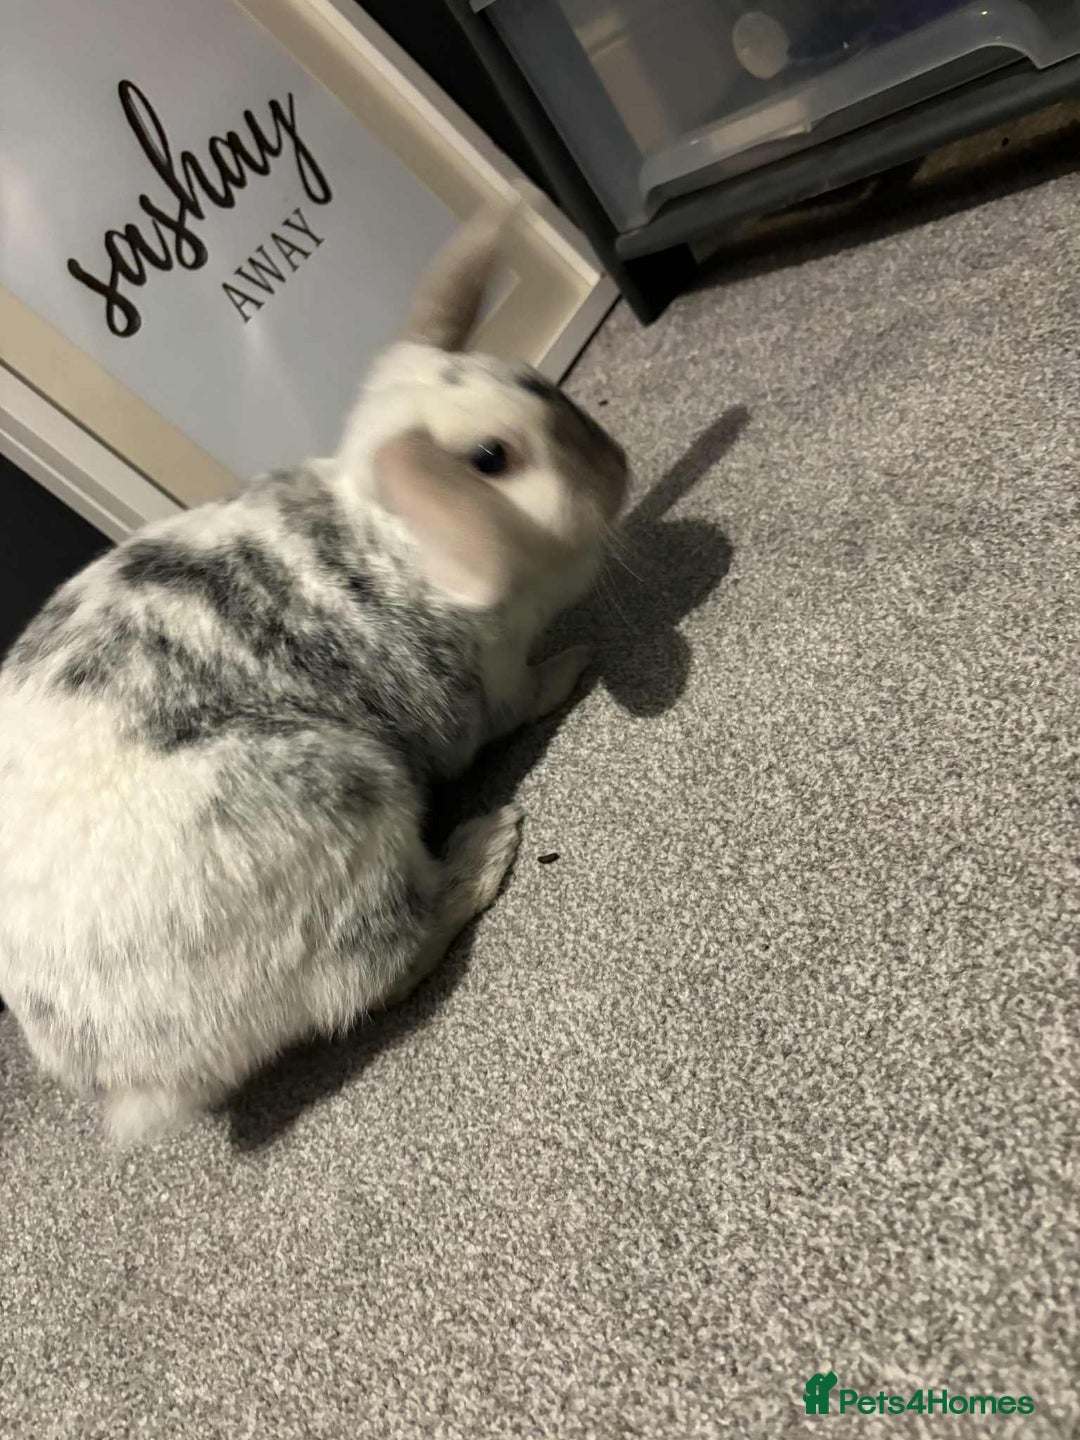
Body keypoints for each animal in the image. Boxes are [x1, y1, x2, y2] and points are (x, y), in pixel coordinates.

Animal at [0, 201, 628, 1144]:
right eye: (491, 458)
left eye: (535, 382)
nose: (620, 475)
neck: (402, 538)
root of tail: (130, 1075)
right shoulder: (486, 684)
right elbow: (525, 695)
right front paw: (580, 661)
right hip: (345, 800)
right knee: (379, 971)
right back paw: (486, 848)